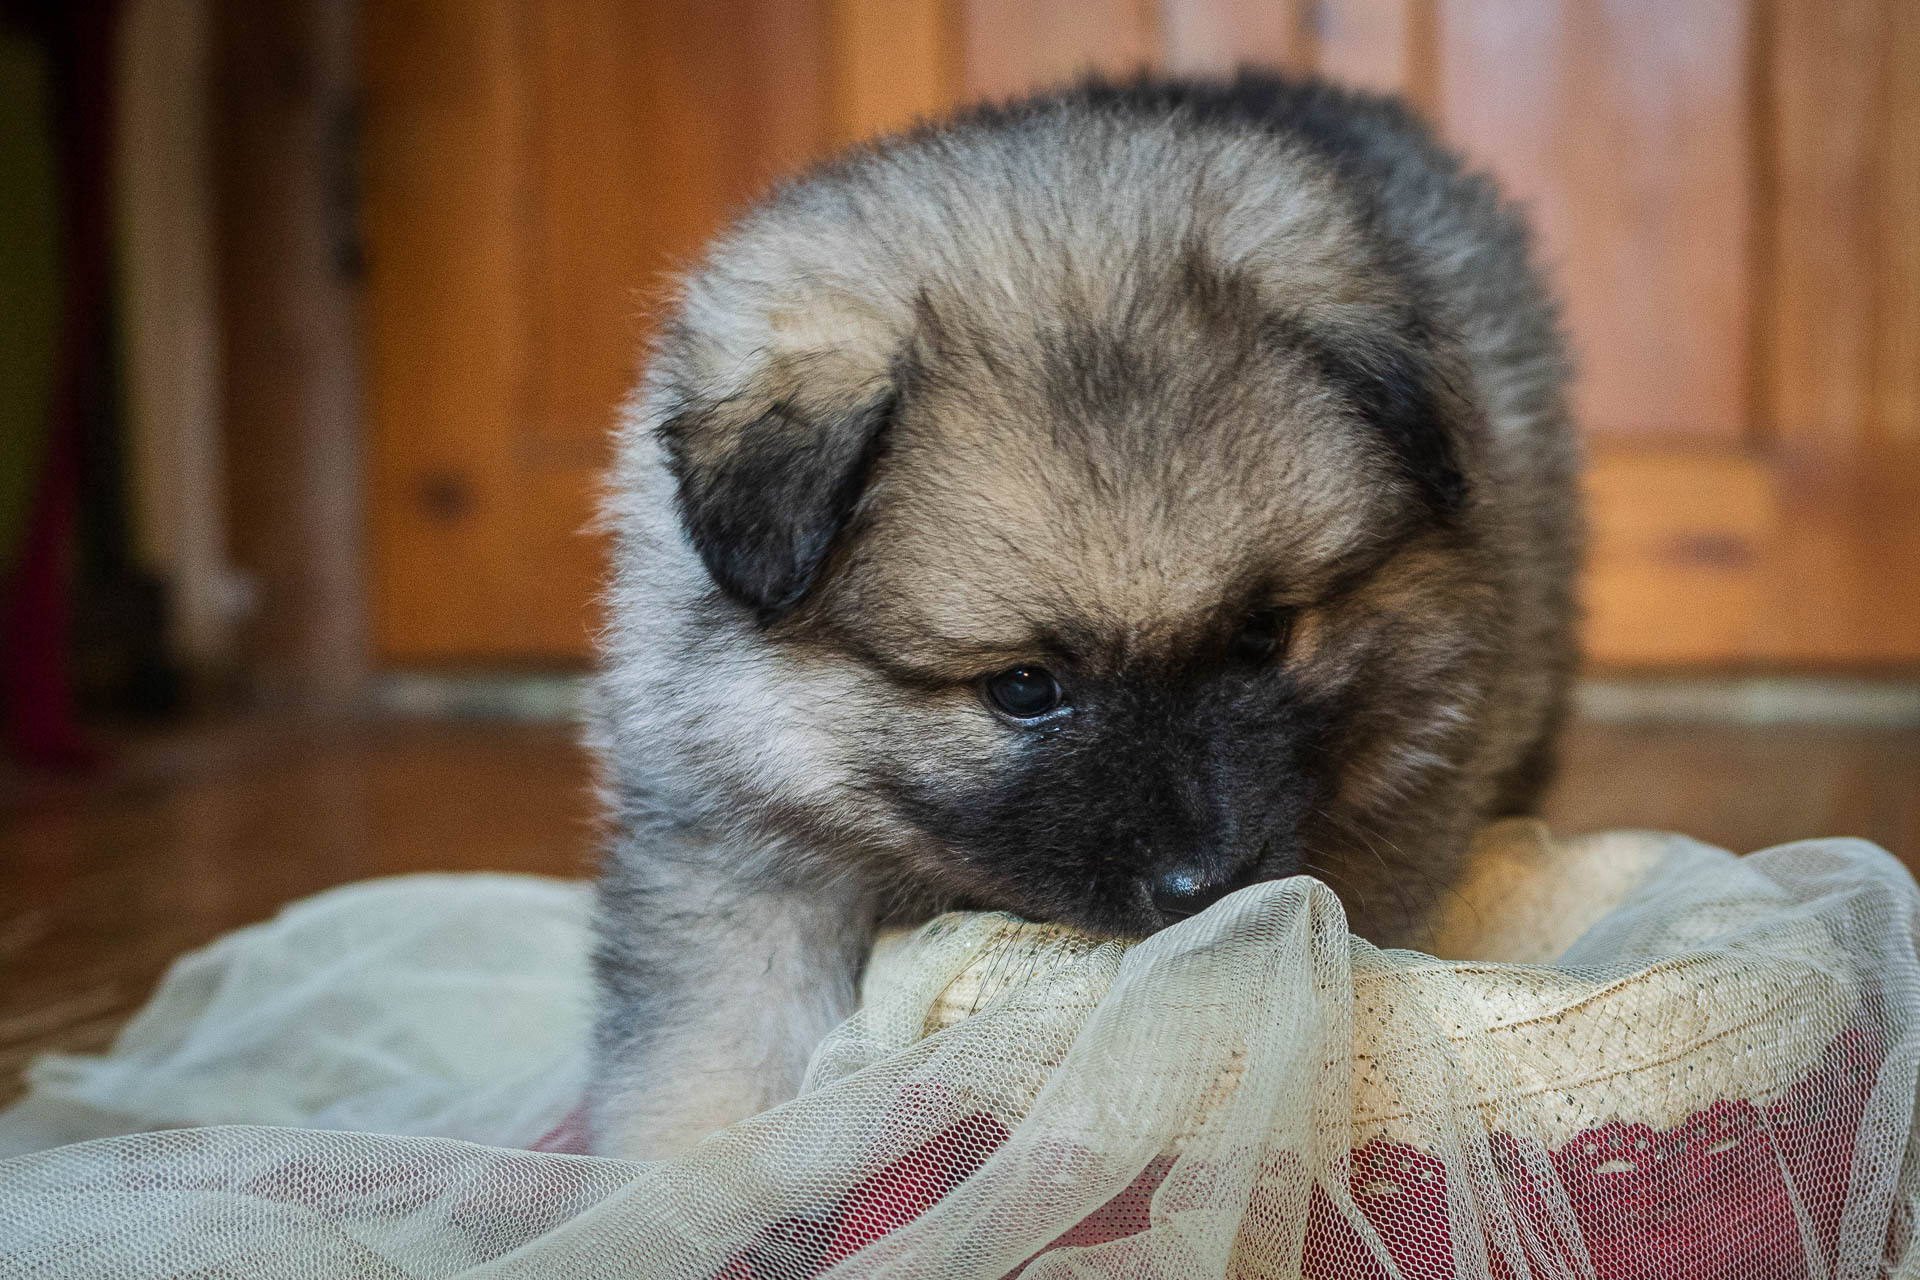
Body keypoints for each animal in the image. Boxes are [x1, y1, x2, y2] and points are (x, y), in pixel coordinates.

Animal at [583, 75, 1574, 1166]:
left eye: (1262, 636)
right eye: (1023, 686)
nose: (1203, 884)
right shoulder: (732, 848)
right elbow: (717, 1044)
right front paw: (683, 1170)